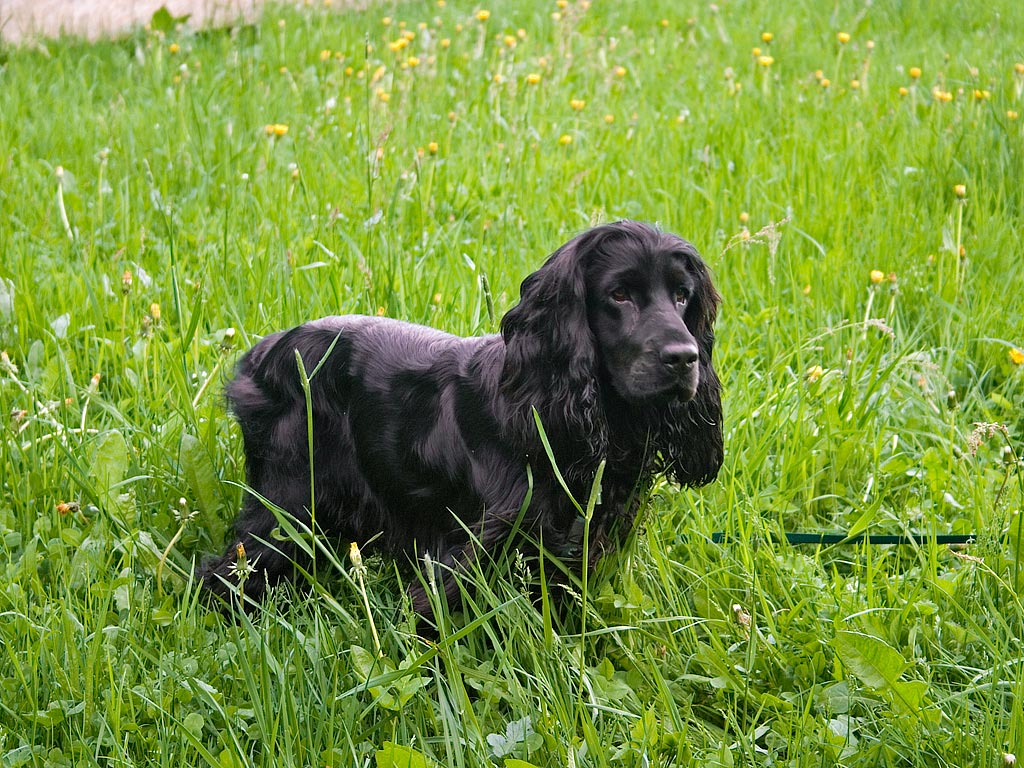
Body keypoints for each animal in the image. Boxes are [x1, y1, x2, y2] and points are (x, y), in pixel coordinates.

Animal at [201, 219, 720, 618]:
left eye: (682, 295)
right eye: (618, 294)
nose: (684, 358)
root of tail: (264, 352)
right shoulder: (470, 553)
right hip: (286, 501)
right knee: (226, 571)